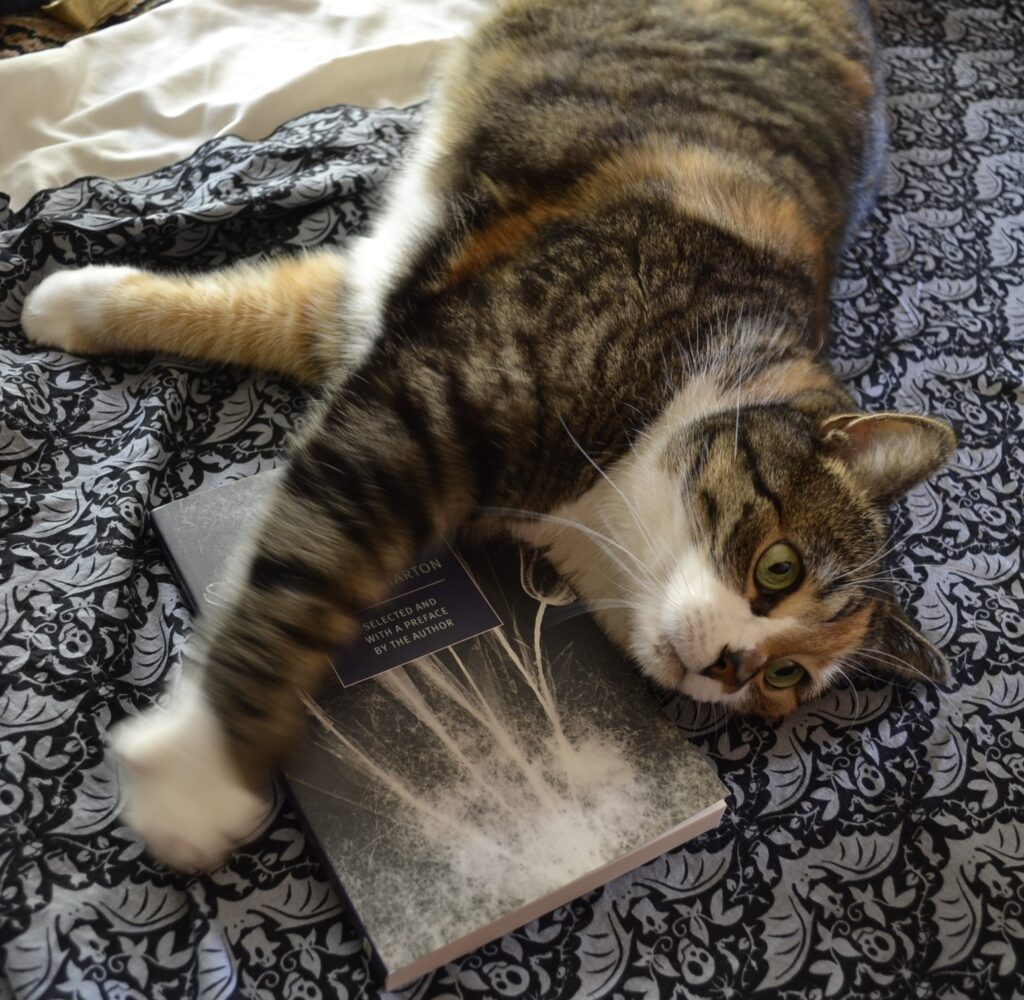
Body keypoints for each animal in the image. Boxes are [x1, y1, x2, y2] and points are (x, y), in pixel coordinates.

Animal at [19, 0, 954, 867]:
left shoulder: (385, 326)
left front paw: (73, 300)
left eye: (786, 677)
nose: (732, 666)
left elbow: (263, 310)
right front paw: (201, 775)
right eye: (778, 568)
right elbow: (304, 580)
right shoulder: (432, 392)